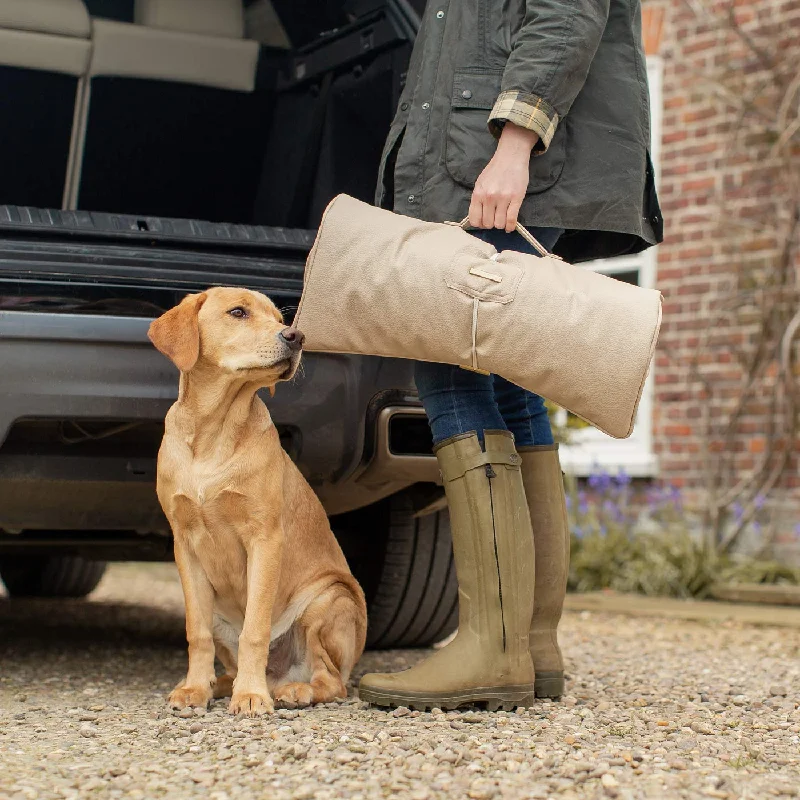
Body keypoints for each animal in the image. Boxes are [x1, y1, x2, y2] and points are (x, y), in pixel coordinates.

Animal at [148, 290, 368, 720]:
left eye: (279, 319)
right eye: (238, 312)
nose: (296, 336)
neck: (213, 433)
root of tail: (280, 674)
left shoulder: (264, 540)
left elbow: (255, 629)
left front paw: (251, 696)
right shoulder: (185, 545)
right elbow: (195, 632)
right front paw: (194, 689)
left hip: (328, 601)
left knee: (332, 682)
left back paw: (290, 690)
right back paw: (220, 685)